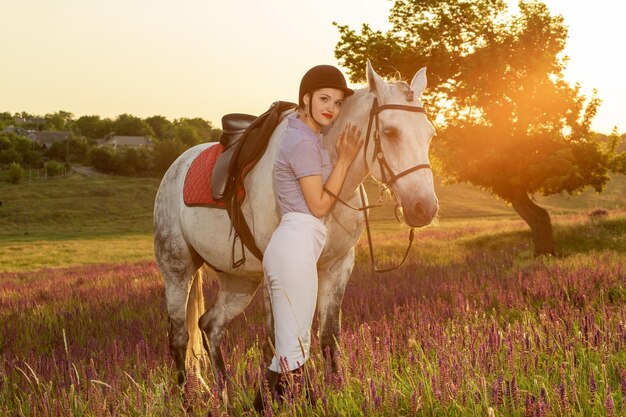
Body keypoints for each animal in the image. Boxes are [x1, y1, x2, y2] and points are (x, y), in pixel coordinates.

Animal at [152, 61, 434, 390]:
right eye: (390, 131)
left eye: (430, 134)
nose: (424, 207)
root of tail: (177, 166)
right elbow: (277, 343)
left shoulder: (337, 266)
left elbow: (328, 336)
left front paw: (334, 390)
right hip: (177, 271)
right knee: (179, 337)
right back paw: (189, 396)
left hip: (240, 281)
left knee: (210, 325)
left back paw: (224, 392)